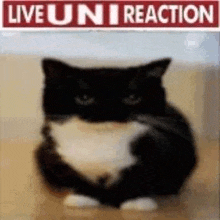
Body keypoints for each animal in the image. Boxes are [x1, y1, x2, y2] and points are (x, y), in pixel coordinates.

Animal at [35, 57, 197, 211]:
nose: (109, 111)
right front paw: (83, 197)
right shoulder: (57, 156)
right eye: (84, 98)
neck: (103, 139)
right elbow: (76, 177)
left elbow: (139, 176)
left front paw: (135, 201)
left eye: (132, 98)